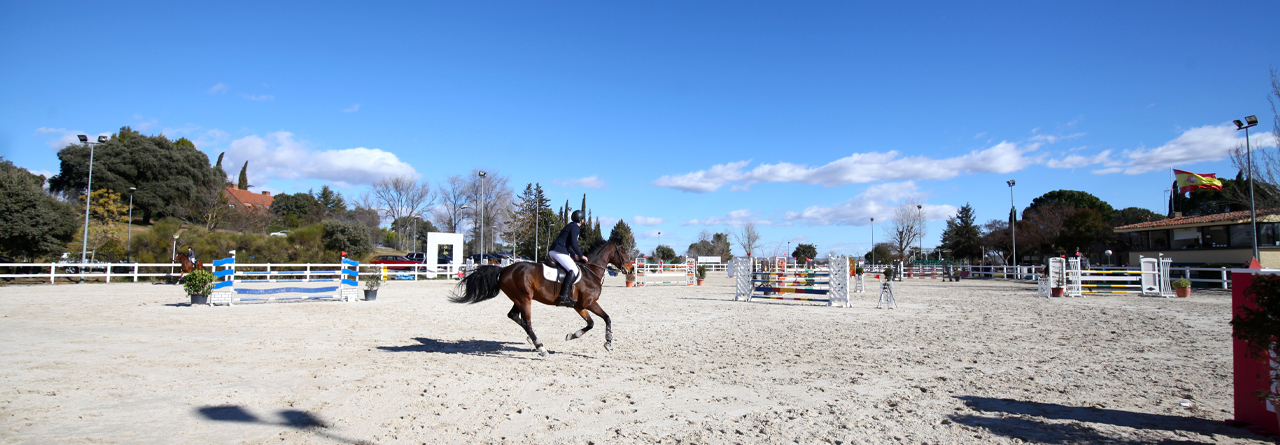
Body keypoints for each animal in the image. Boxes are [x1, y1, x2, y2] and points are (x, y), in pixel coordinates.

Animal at [450, 241, 634, 355]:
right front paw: (608, 342)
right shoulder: (590, 303)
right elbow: (607, 318)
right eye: (623, 251)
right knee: (527, 322)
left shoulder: (580, 306)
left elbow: (591, 323)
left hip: (518, 299)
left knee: (514, 316)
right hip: (524, 299)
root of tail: (504, 269)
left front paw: (571, 335)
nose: (631, 269)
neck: (591, 272)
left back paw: (531, 340)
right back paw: (540, 347)